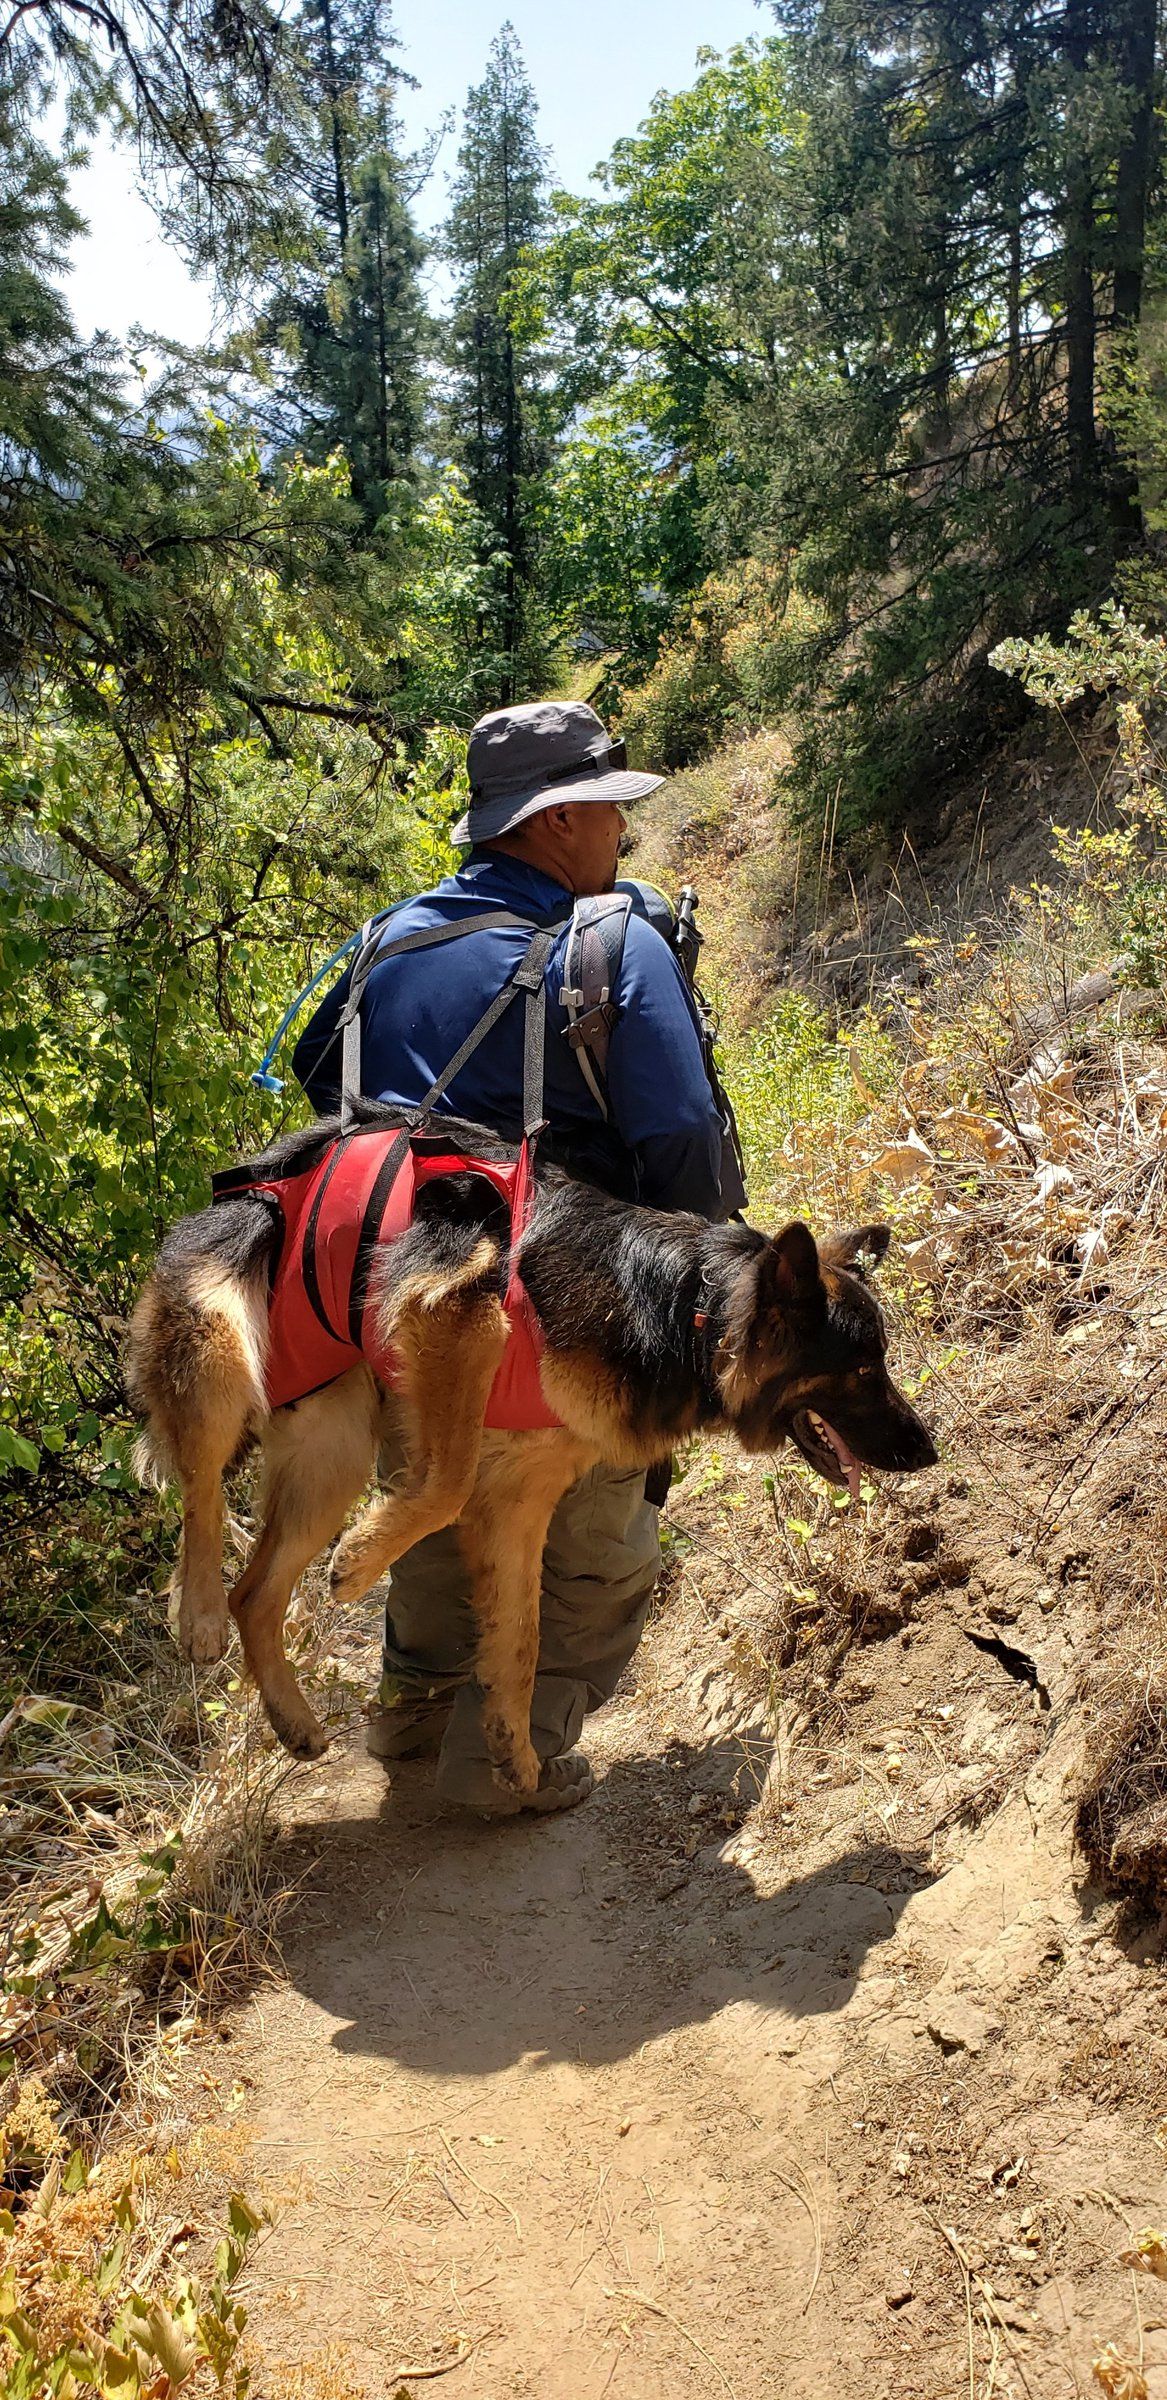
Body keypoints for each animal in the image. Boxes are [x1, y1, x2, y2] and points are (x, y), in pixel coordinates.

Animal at [125, 1104, 941, 1804]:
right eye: (862, 1370)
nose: (927, 1451)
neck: (685, 1312)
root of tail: (267, 1167)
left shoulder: (519, 1501)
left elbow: (519, 1642)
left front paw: (513, 1759)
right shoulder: (458, 1316)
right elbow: (446, 1485)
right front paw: (360, 1560)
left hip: (335, 1455)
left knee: (256, 1591)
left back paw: (291, 1718)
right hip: (221, 1348)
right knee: (200, 1496)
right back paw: (199, 1613)